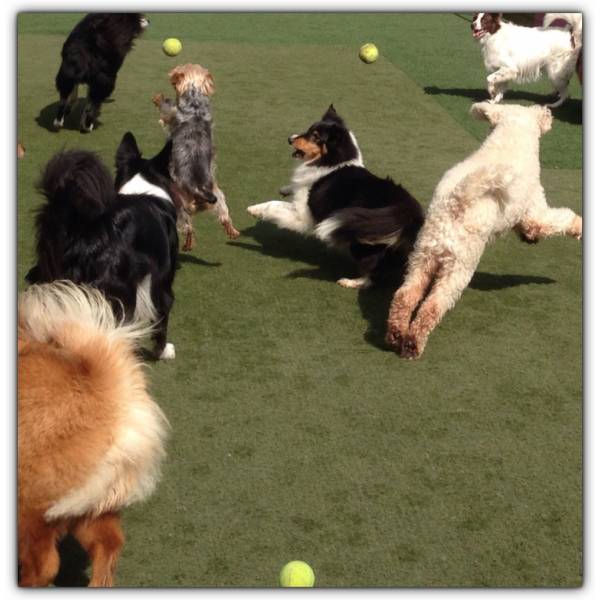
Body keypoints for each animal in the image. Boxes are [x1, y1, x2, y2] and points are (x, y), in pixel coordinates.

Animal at [390, 101, 580, 358]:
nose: (550, 114)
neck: (510, 136)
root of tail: (457, 203)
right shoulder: (535, 209)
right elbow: (556, 220)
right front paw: (579, 226)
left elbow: (528, 227)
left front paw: (528, 237)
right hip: (458, 268)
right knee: (432, 306)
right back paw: (413, 343)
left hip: (422, 258)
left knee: (405, 295)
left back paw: (396, 333)